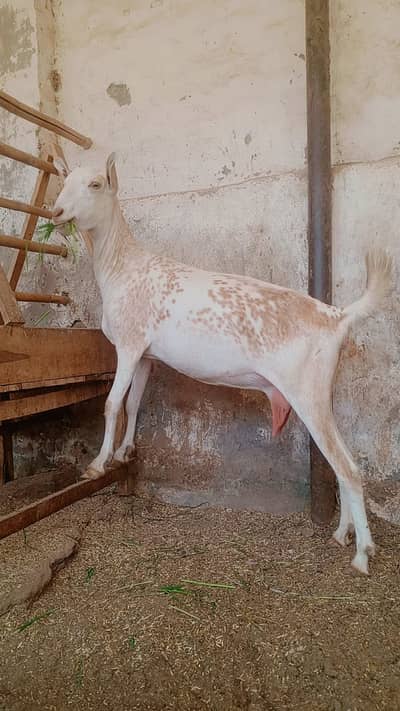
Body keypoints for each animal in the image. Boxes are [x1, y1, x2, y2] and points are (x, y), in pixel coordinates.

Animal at [52, 153, 392, 575]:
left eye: (96, 184)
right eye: (65, 181)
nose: (57, 211)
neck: (121, 267)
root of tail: (338, 315)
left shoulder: (129, 344)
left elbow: (112, 403)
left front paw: (98, 464)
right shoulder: (146, 354)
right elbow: (133, 403)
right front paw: (124, 452)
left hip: (306, 390)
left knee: (347, 468)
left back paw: (361, 555)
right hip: (321, 393)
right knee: (341, 461)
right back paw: (343, 533)